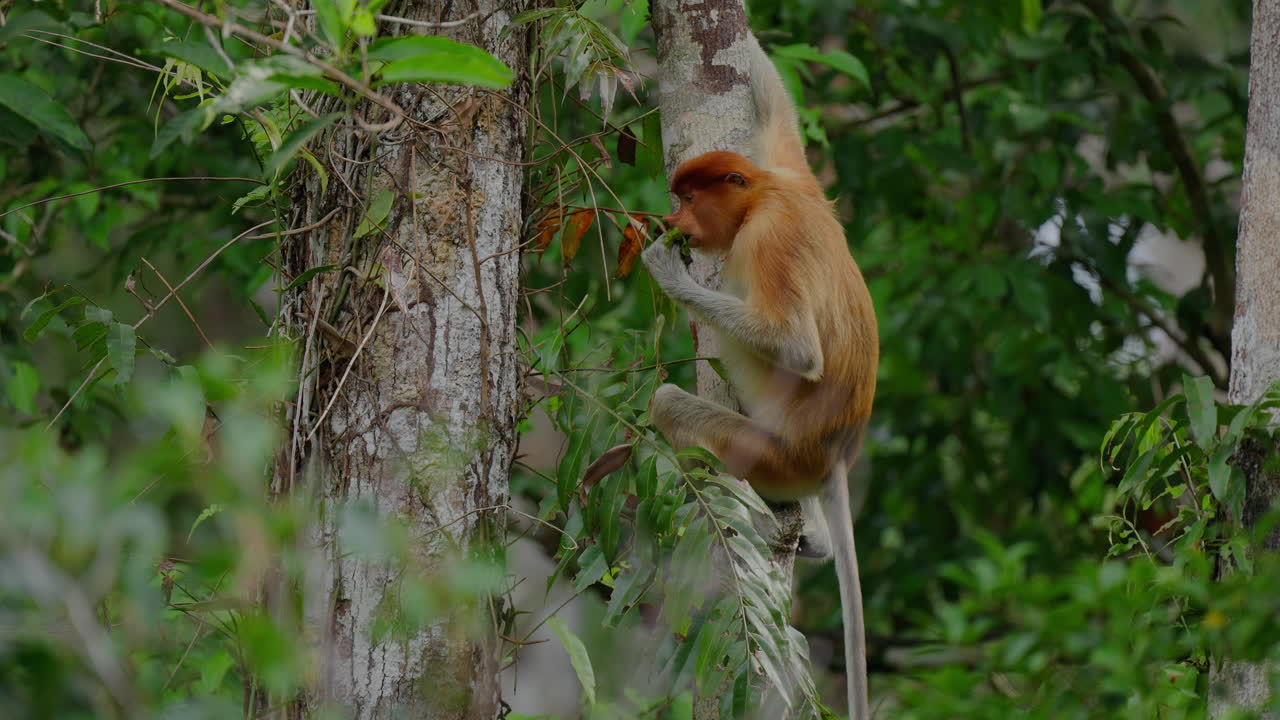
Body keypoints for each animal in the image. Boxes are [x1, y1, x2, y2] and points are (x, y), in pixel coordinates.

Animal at [641, 34, 877, 720]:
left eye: (691, 199)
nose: (676, 221)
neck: (765, 195)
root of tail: (833, 458)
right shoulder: (792, 173)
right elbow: (776, 112)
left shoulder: (766, 237)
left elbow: (797, 350)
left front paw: (667, 268)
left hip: (773, 453)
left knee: (674, 401)